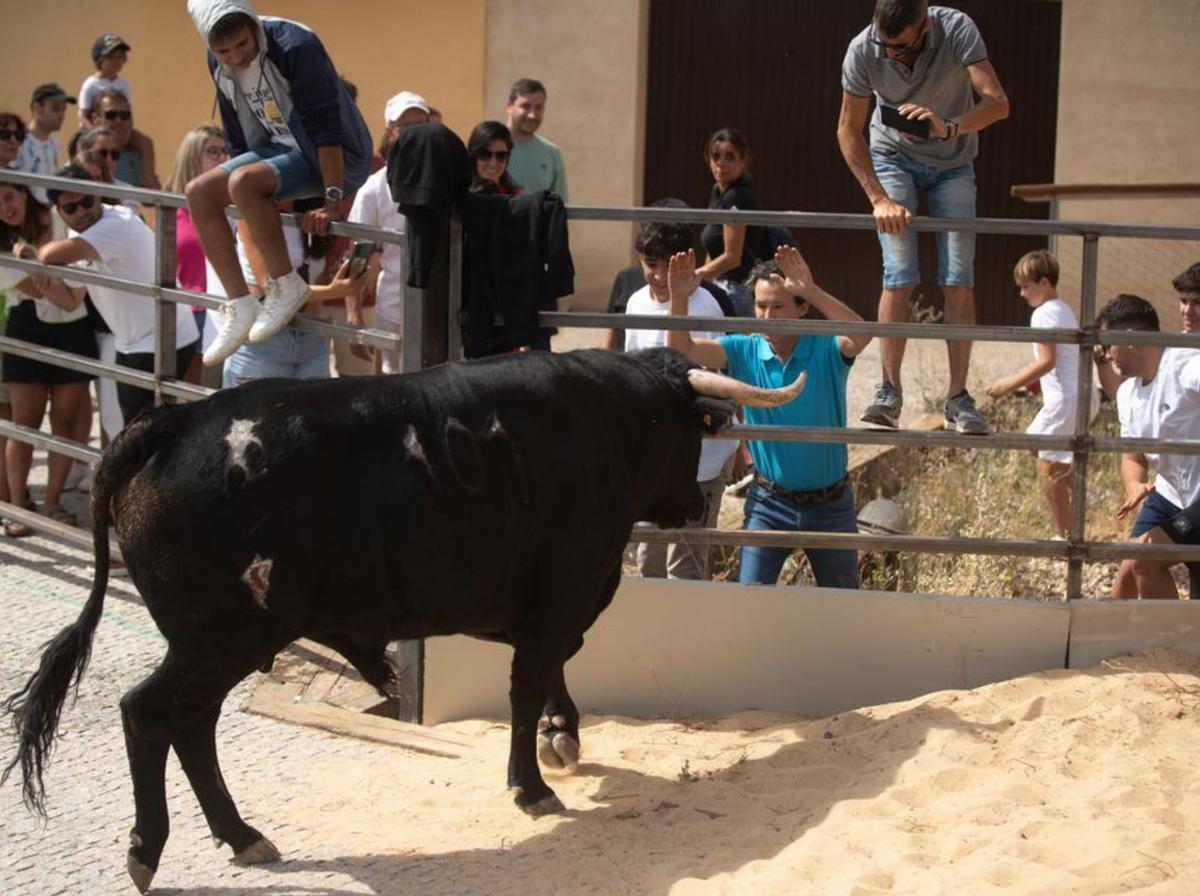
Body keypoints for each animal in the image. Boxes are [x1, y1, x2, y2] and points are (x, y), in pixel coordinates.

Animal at [4, 347, 806, 892]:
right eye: (695, 430)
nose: (694, 505)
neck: (606, 418)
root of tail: (174, 418)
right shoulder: (565, 593)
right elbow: (528, 684)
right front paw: (531, 784)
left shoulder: (552, 605)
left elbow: (552, 672)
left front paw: (563, 736)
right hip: (217, 639)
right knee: (150, 716)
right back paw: (149, 848)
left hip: (218, 644)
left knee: (192, 729)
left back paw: (241, 835)